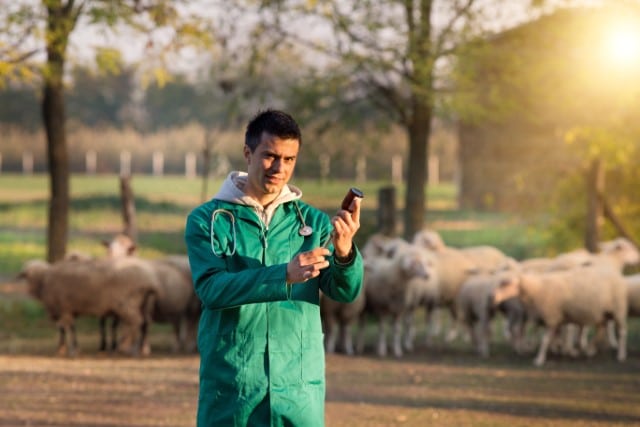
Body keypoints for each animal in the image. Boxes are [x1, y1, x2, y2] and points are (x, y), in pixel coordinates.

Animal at [20, 258, 161, 358]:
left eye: (26, 276)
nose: (28, 292)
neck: (43, 280)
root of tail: (149, 280)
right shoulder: (69, 310)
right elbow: (71, 328)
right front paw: (69, 348)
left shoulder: (64, 309)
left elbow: (65, 329)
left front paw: (69, 350)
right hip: (143, 304)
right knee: (144, 323)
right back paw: (140, 349)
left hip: (126, 304)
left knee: (136, 322)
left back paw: (131, 349)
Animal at [492, 266, 628, 366]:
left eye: (506, 283)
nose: (493, 298)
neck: (537, 289)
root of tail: (616, 273)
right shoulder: (548, 318)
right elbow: (547, 337)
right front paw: (561, 351)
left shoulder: (551, 318)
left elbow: (545, 340)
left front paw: (539, 359)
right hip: (602, 312)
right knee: (601, 330)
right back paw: (589, 350)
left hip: (618, 309)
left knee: (621, 332)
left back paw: (621, 355)